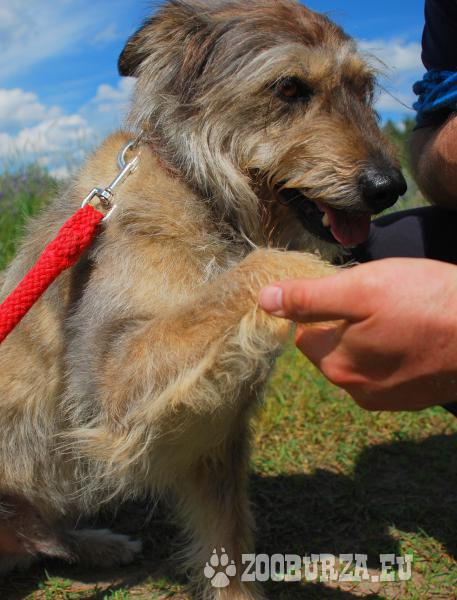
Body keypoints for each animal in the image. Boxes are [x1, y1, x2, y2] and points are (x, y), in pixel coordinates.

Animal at [0, 1, 406, 598]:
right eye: (288, 88)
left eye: (364, 87)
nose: (389, 187)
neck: (200, 192)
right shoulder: (111, 380)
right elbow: (259, 268)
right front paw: (324, 277)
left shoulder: (219, 426)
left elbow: (228, 538)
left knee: (47, 541)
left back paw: (98, 544)